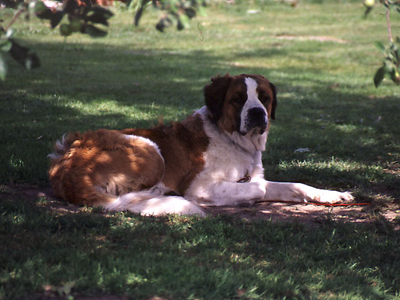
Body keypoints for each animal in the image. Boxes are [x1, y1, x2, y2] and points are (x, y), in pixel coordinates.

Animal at [48, 74, 352, 217]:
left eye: (264, 98)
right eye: (239, 99)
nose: (257, 113)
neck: (233, 139)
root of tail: (67, 166)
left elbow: (293, 186)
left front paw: (332, 194)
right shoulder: (201, 187)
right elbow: (259, 187)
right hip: (151, 150)